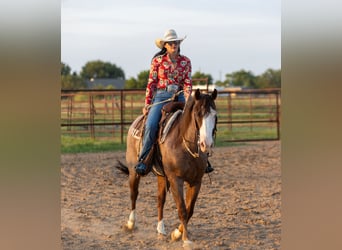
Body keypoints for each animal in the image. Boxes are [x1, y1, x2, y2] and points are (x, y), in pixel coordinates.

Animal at [117, 88, 218, 248]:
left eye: (215, 116)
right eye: (198, 114)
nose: (206, 144)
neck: (184, 144)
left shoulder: (196, 181)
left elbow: (190, 209)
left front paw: (176, 233)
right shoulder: (176, 180)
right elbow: (182, 209)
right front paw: (186, 240)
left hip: (161, 176)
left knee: (160, 200)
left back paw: (161, 230)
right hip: (134, 171)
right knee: (134, 194)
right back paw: (130, 224)